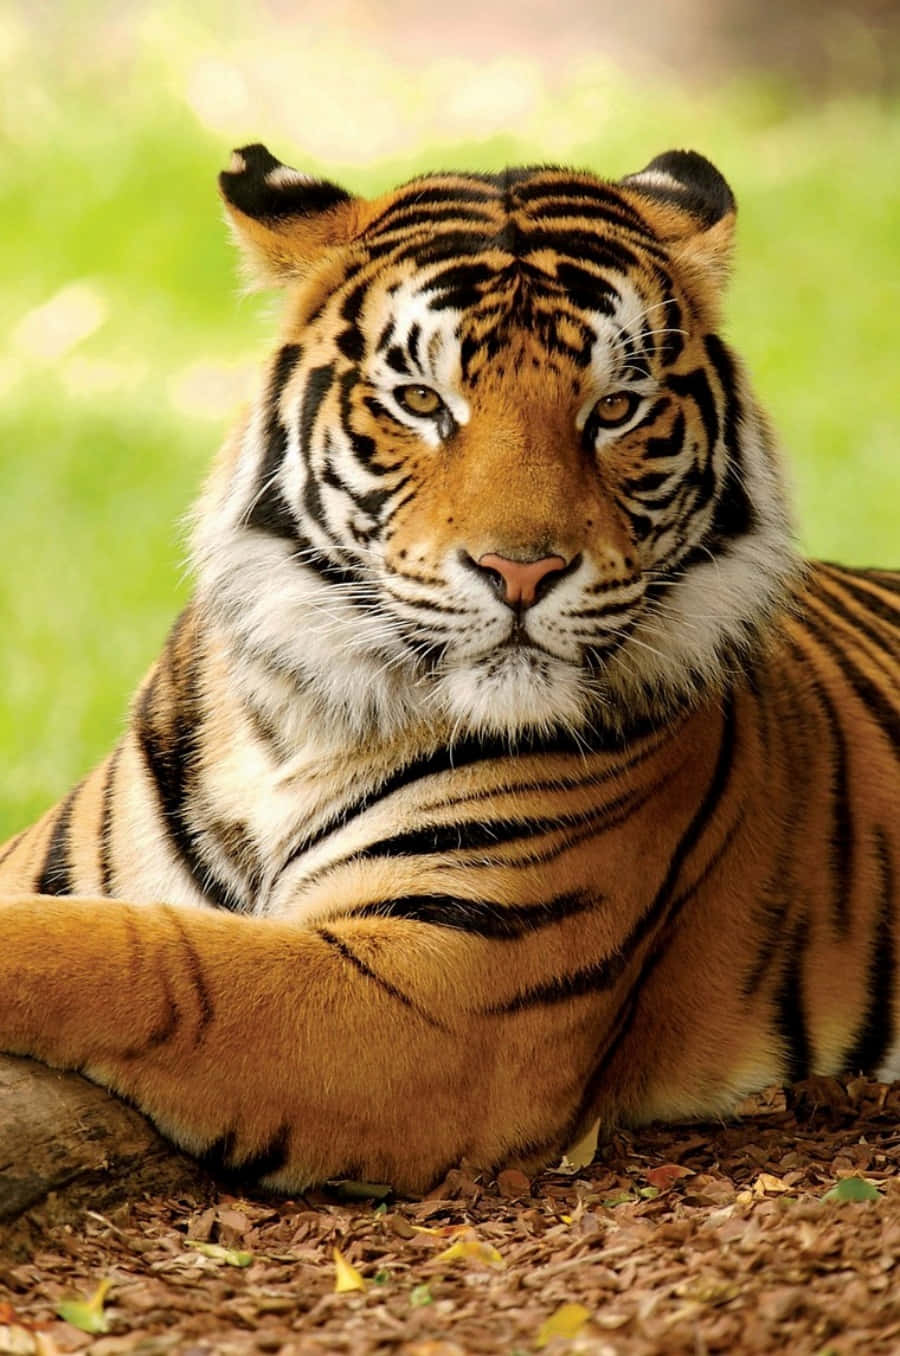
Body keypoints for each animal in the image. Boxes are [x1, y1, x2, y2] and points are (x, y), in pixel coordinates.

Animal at [0, 144, 897, 1196]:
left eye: (616, 409)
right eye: (423, 402)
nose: (523, 570)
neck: (293, 723)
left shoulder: (444, 997)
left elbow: (147, 959)